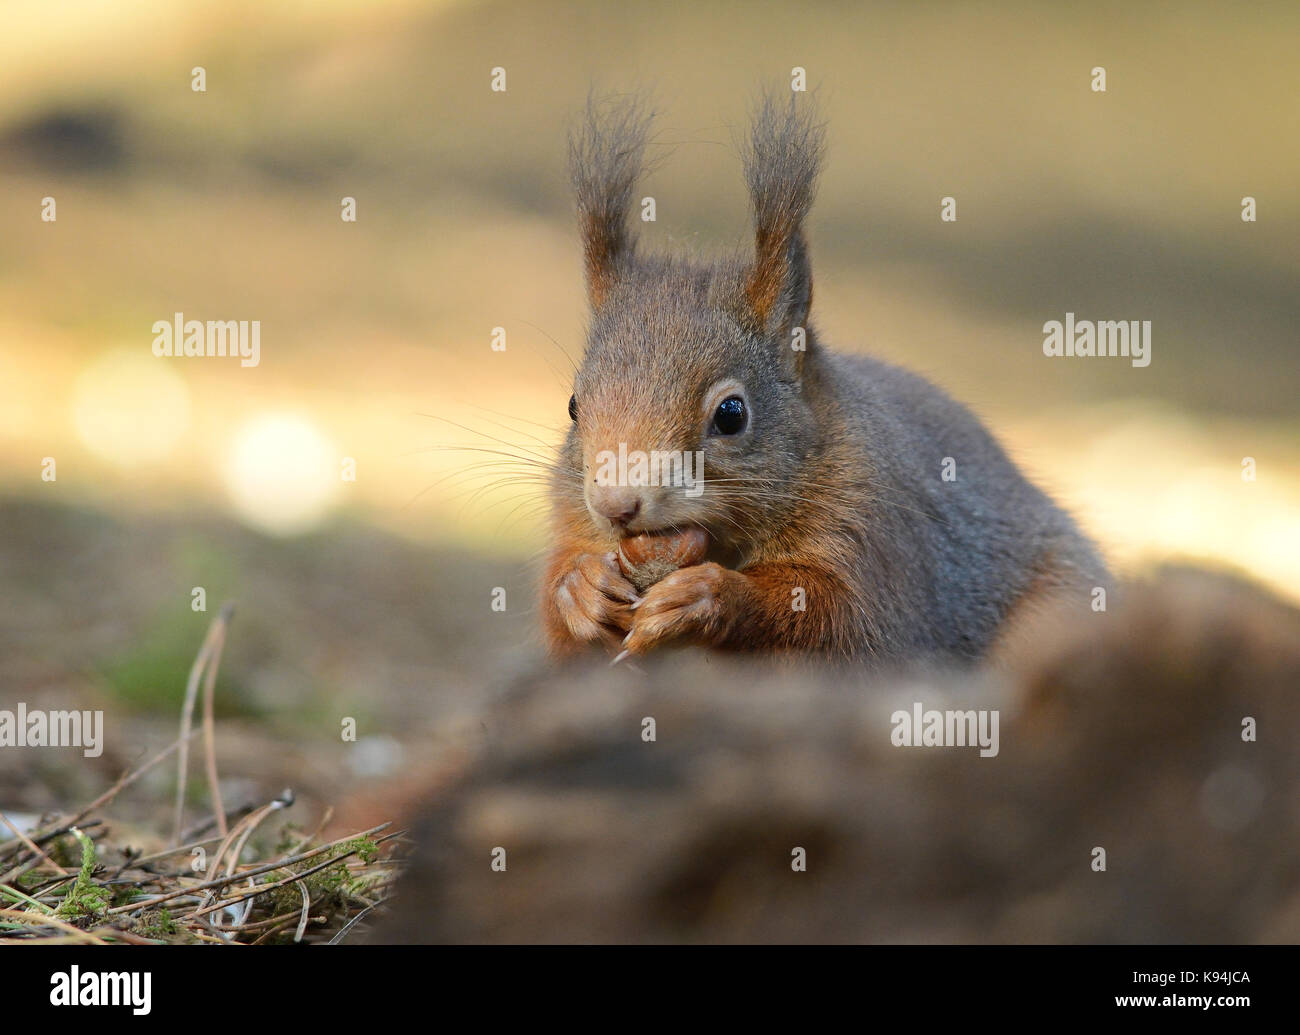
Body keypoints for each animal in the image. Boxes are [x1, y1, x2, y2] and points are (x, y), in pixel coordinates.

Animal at [540, 94, 1107, 663]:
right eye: (573, 406)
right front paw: (581, 590)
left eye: (731, 414)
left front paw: (708, 595)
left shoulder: (870, 525)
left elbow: (841, 615)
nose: (615, 506)